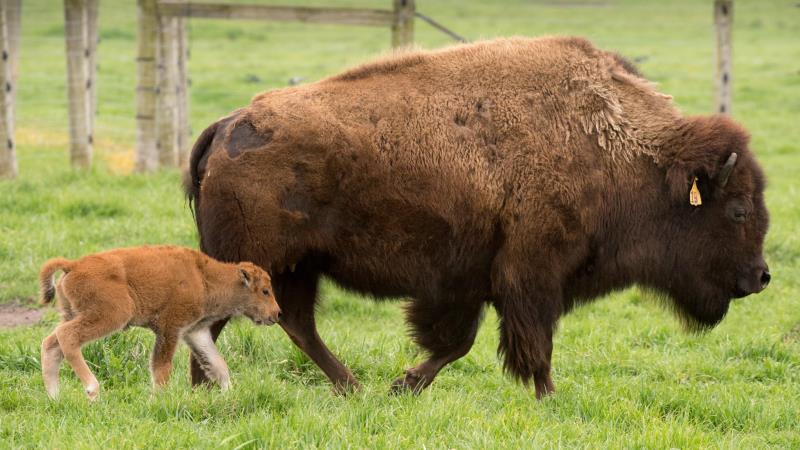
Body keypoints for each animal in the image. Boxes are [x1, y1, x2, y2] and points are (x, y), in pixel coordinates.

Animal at [38, 246, 282, 400]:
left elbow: (218, 365)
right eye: (265, 291)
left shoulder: (194, 331)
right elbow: (161, 368)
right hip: (111, 315)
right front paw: (158, 400)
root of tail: (74, 265)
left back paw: (54, 397)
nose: (277, 314)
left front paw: (229, 394)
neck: (203, 276)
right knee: (68, 337)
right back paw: (92, 389)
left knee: (51, 344)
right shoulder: (169, 330)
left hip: (72, 313)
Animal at [186, 37, 768, 398]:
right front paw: (548, 398)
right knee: (221, 322)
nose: (761, 277)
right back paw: (206, 391)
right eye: (738, 209)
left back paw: (344, 387)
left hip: (296, 266)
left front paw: (404, 385)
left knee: (294, 322)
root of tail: (228, 123)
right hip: (259, 262)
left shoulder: (468, 280)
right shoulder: (531, 275)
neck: (615, 145)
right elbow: (531, 343)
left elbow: (456, 342)